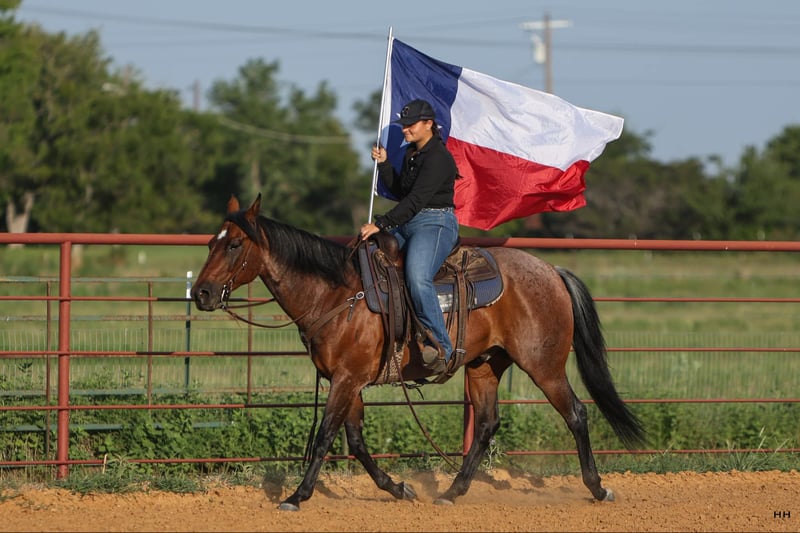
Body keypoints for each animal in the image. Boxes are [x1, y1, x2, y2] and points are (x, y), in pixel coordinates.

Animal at [191, 194, 644, 511]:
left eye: (234, 245)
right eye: (211, 243)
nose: (202, 293)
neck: (337, 293)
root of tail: (551, 271)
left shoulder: (346, 379)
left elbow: (325, 438)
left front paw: (296, 496)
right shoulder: (348, 380)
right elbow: (355, 440)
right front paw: (397, 487)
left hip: (544, 365)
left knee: (577, 414)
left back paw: (598, 488)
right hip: (484, 366)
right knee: (486, 425)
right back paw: (452, 491)